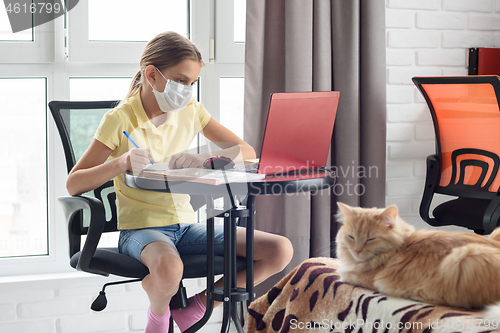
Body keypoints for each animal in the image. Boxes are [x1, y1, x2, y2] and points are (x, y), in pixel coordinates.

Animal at [334, 201, 500, 310]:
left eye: (370, 239)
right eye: (351, 237)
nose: (357, 250)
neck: (398, 249)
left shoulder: (359, 276)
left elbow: (343, 274)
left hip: (465, 257)